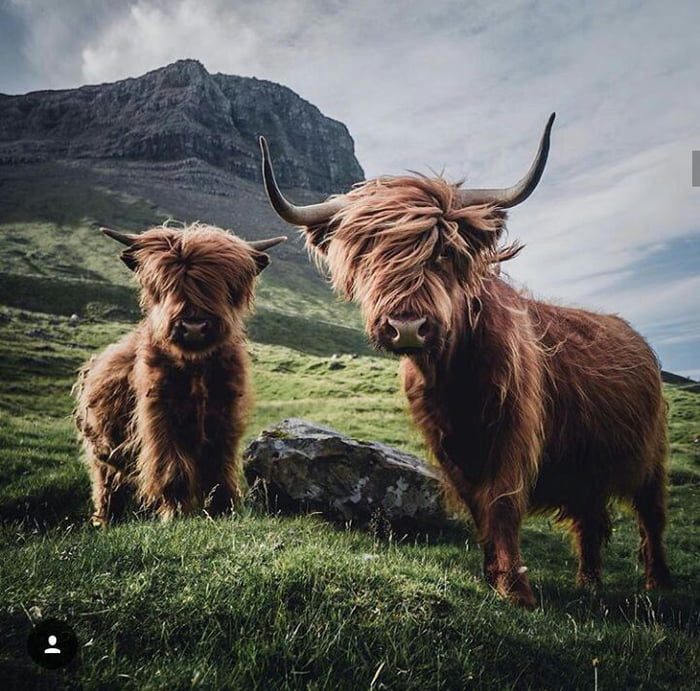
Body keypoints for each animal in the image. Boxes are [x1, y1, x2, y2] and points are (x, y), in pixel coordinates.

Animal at [73, 223, 286, 524]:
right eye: (164, 283)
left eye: (224, 284)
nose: (193, 327)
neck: (196, 367)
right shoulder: (159, 416)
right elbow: (171, 469)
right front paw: (174, 514)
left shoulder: (226, 416)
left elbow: (218, 467)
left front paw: (222, 509)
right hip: (101, 452)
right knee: (106, 488)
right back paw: (105, 521)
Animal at [258, 115, 671, 607]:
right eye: (367, 256)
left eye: (442, 252)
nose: (408, 327)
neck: (454, 378)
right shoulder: (447, 445)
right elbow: (480, 508)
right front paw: (493, 576)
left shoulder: (514, 432)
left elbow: (502, 502)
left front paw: (517, 591)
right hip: (587, 462)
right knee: (590, 521)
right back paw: (588, 583)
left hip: (651, 455)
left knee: (651, 516)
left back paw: (656, 584)